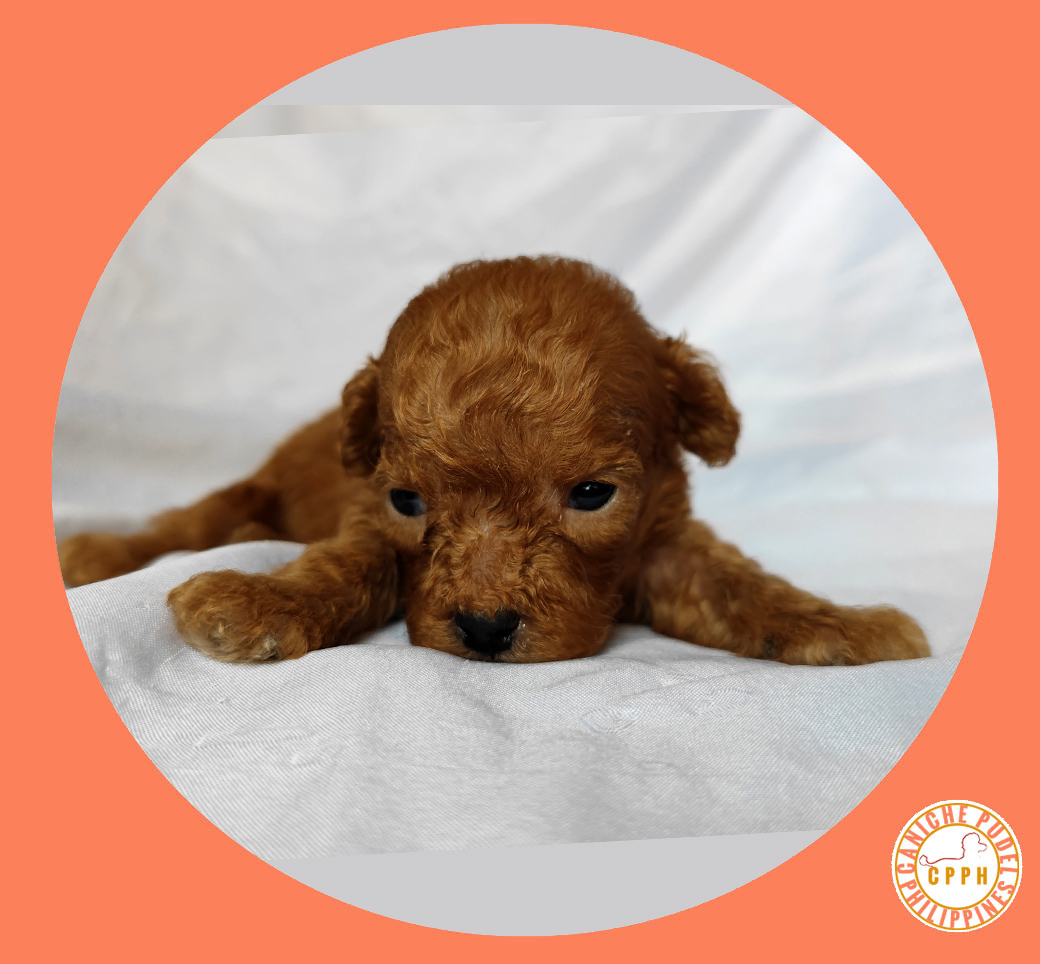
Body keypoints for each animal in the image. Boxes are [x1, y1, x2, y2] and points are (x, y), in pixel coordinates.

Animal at [59, 256, 929, 666]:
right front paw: (259, 602)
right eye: (409, 502)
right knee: (187, 522)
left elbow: (738, 587)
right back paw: (96, 553)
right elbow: (347, 565)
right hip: (251, 485)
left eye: (591, 494)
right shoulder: (366, 516)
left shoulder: (665, 543)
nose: (484, 630)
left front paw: (842, 625)